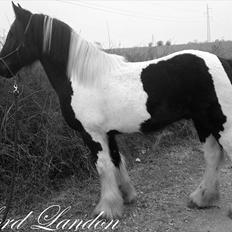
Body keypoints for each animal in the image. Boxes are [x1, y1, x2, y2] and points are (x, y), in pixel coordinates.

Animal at [0, 2, 232, 218]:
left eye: (12, 33)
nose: (2, 68)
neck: (83, 79)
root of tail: (223, 61)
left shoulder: (93, 134)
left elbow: (103, 166)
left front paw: (106, 209)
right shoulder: (108, 134)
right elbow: (116, 161)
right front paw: (126, 196)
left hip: (221, 123)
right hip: (203, 122)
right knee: (212, 155)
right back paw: (202, 198)